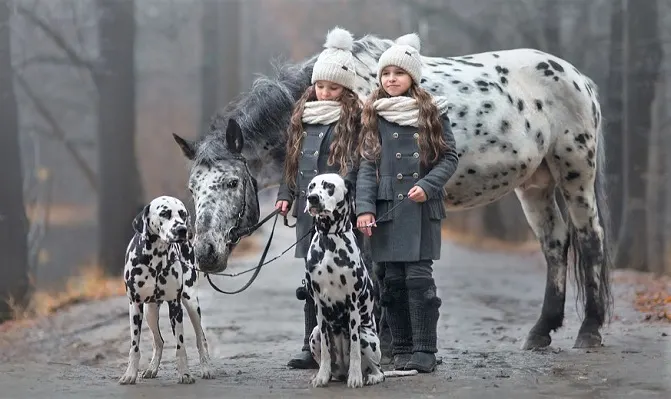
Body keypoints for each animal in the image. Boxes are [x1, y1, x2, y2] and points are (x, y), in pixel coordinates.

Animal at [119, 195, 214, 386]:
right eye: (165, 213)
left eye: (183, 214)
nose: (182, 230)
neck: (155, 260)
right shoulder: (135, 306)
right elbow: (134, 347)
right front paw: (130, 374)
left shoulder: (175, 306)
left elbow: (181, 346)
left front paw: (184, 374)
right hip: (150, 312)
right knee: (159, 341)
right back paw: (151, 369)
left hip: (192, 304)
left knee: (201, 339)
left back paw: (206, 368)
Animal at [173, 32, 616, 350]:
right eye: (193, 187)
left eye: (232, 182)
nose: (205, 252)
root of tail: (577, 78)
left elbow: (374, 273)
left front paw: (380, 342)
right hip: (535, 183)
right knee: (555, 244)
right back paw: (541, 331)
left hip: (576, 170)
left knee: (589, 239)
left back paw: (589, 331)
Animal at [304, 174, 414, 388]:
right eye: (311, 186)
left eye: (329, 186)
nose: (312, 198)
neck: (330, 240)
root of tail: (341, 371)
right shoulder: (319, 305)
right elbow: (326, 351)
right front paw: (321, 376)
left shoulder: (353, 304)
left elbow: (354, 348)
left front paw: (354, 378)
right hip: (315, 333)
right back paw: (329, 375)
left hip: (367, 335)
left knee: (378, 369)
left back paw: (368, 376)